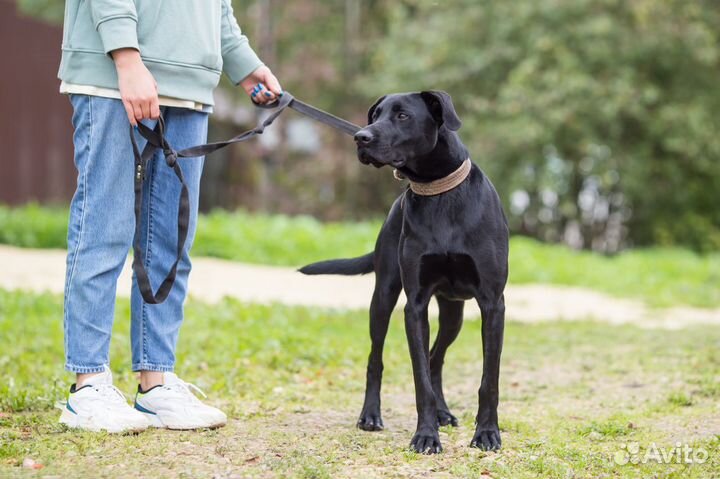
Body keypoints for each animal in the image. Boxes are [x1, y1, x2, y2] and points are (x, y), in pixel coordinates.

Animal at [300, 92, 510, 456]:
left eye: (402, 115)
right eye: (376, 115)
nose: (361, 137)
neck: (438, 192)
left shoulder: (493, 304)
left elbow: (489, 379)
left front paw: (486, 433)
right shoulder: (415, 305)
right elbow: (419, 379)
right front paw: (425, 436)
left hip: (453, 312)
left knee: (436, 358)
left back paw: (444, 412)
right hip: (383, 297)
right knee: (378, 359)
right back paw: (371, 416)